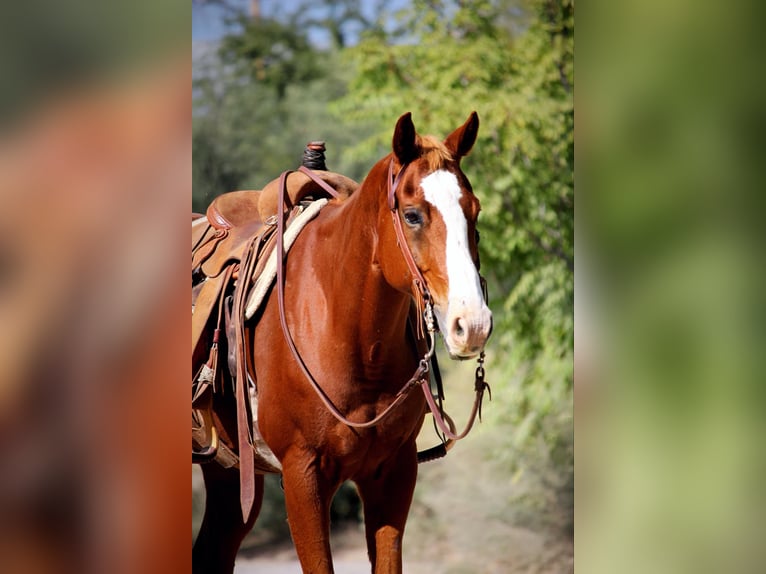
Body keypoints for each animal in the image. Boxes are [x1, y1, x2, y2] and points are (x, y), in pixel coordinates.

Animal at [192, 112, 493, 573]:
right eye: (412, 216)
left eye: (474, 213)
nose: (472, 324)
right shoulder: (303, 475)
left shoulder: (394, 472)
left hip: (228, 470)